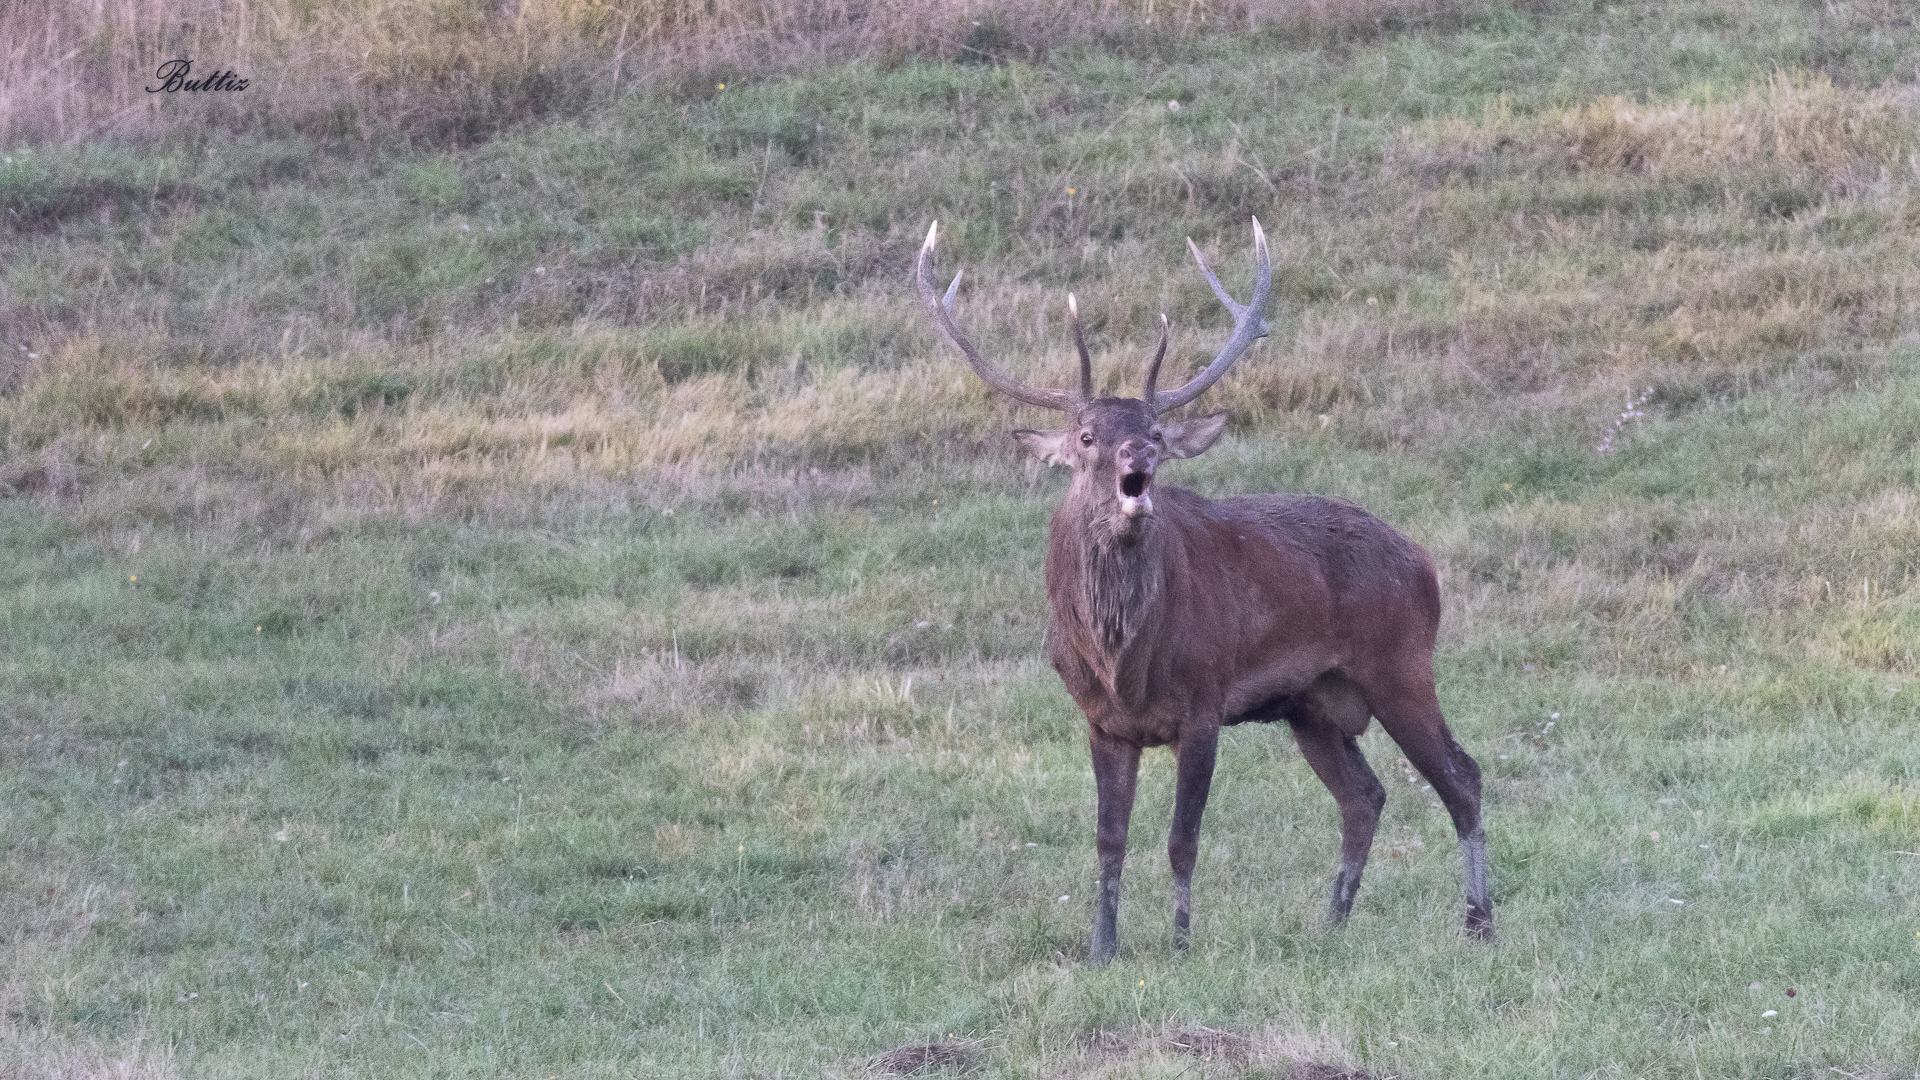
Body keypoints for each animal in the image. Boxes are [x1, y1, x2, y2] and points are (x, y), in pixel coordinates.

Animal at [914, 218, 1491, 964]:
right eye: (1086, 435)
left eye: (1155, 431)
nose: (1137, 455)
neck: (1123, 663)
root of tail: (1424, 563)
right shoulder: (1100, 720)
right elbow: (1109, 840)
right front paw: (1102, 948)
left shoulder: (1204, 703)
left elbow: (1181, 840)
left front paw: (1181, 944)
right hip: (1314, 704)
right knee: (1365, 794)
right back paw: (1332, 923)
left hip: (1401, 664)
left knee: (1461, 776)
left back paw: (1480, 923)